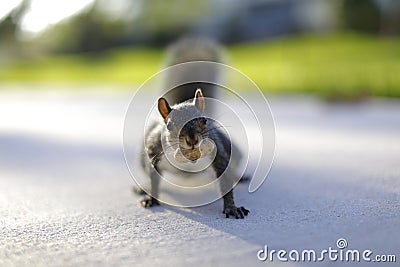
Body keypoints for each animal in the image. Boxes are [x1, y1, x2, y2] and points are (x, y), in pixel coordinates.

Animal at [139, 37, 248, 219]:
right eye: (169, 125)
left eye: (204, 120)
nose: (192, 140)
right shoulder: (154, 152)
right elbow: (154, 179)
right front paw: (150, 198)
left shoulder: (220, 154)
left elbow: (226, 181)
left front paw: (232, 207)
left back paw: (240, 177)